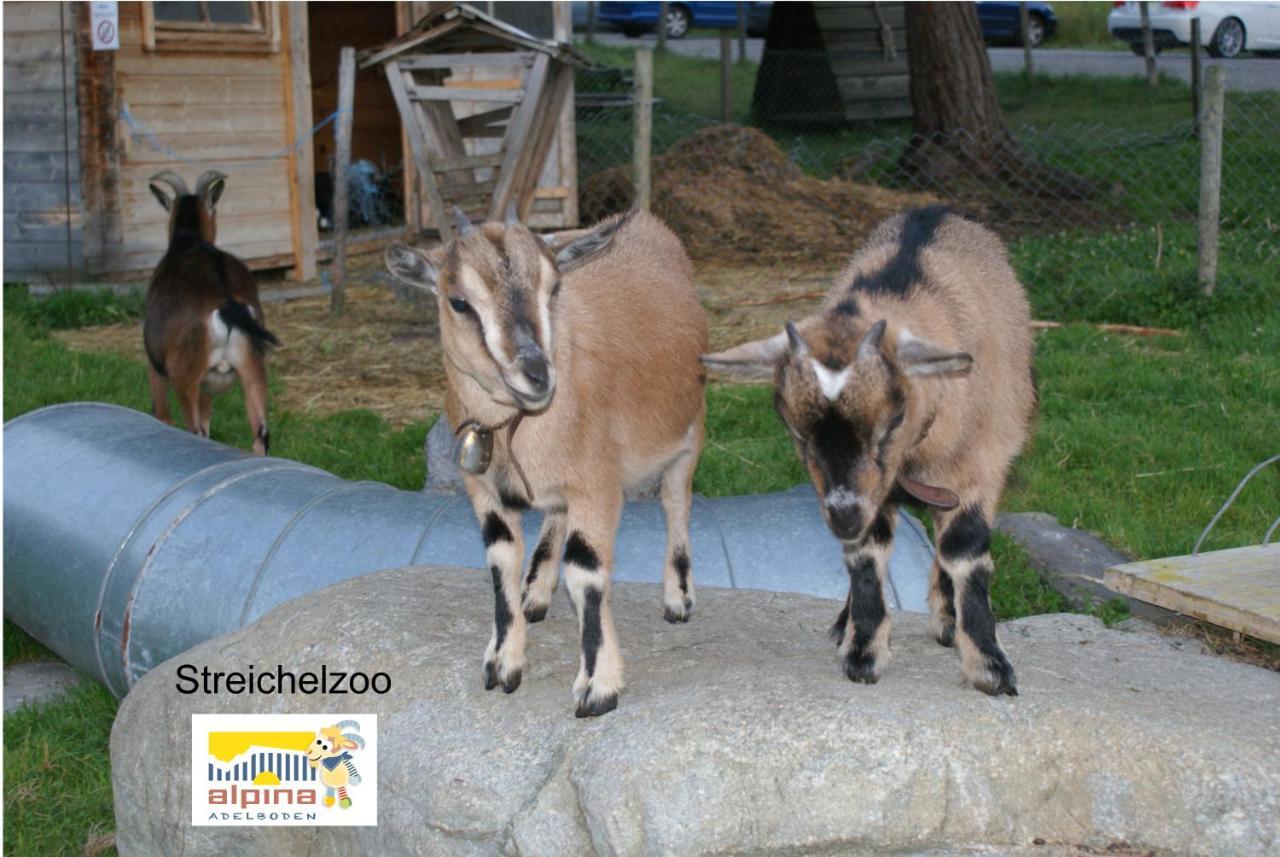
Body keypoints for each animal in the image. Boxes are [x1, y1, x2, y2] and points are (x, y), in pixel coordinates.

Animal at [144, 170, 276, 460]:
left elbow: (164, 416)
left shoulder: (157, 368)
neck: (188, 240)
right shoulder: (207, 386)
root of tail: (228, 306)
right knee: (260, 434)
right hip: (253, 369)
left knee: (193, 431)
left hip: (185, 377)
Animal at [386, 208, 711, 716]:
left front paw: (598, 685)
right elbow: (500, 559)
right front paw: (503, 662)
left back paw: (677, 597)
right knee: (556, 519)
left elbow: (586, 572)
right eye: (458, 302)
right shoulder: (483, 489)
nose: (536, 374)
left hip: (690, 428)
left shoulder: (598, 483)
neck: (519, 429)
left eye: (554, 288)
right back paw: (536, 589)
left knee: (676, 500)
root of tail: (644, 222)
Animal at [706, 208, 1034, 695]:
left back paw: (946, 619)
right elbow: (866, 557)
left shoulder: (978, 466)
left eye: (894, 420)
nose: (843, 518)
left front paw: (990, 666)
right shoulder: (862, 491)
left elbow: (964, 551)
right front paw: (863, 652)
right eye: (795, 430)